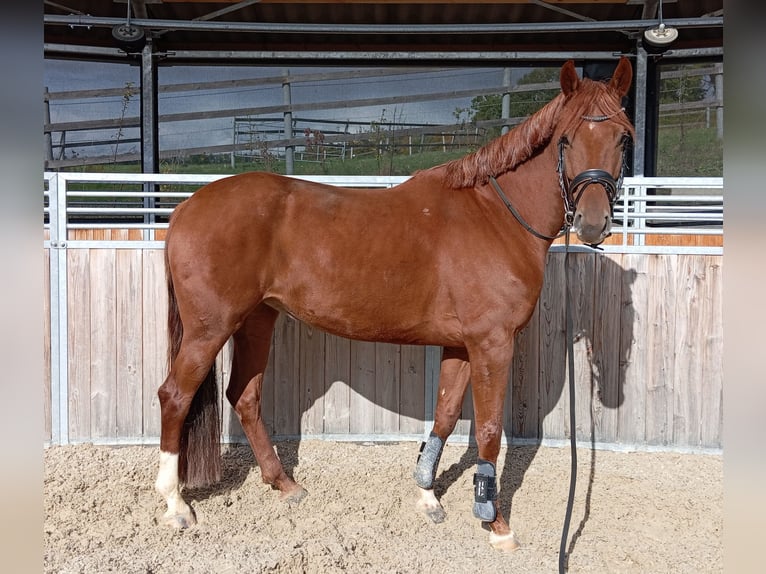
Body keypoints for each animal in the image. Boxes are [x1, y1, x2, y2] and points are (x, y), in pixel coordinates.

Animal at [154, 58, 636, 552]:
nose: (592, 223)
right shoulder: (493, 344)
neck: (496, 216)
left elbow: (445, 415)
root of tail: (186, 208)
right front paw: (497, 524)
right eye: (566, 139)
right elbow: (488, 431)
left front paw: (428, 495)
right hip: (210, 328)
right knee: (175, 396)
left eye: (623, 137)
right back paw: (176, 505)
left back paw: (284, 484)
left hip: (256, 319)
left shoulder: (462, 345)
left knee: (244, 396)